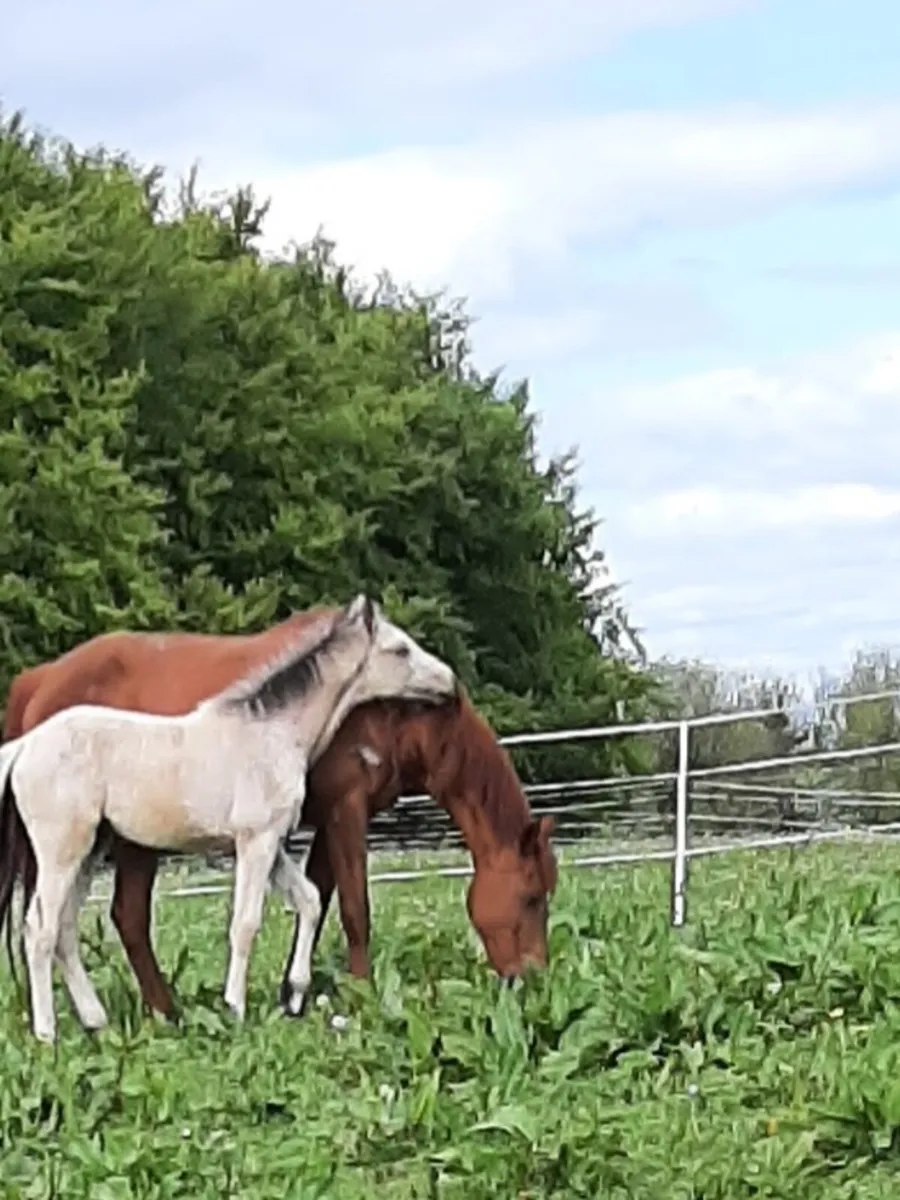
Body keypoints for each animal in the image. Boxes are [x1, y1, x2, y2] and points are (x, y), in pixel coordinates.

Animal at [1, 605, 558, 1023]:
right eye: (532, 897)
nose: (530, 978)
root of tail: (29, 729)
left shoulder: (282, 837)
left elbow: (312, 898)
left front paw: (294, 993)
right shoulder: (301, 824)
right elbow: (311, 914)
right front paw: (250, 1006)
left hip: (94, 849)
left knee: (72, 926)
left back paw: (105, 1019)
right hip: (72, 851)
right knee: (52, 928)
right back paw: (61, 1031)